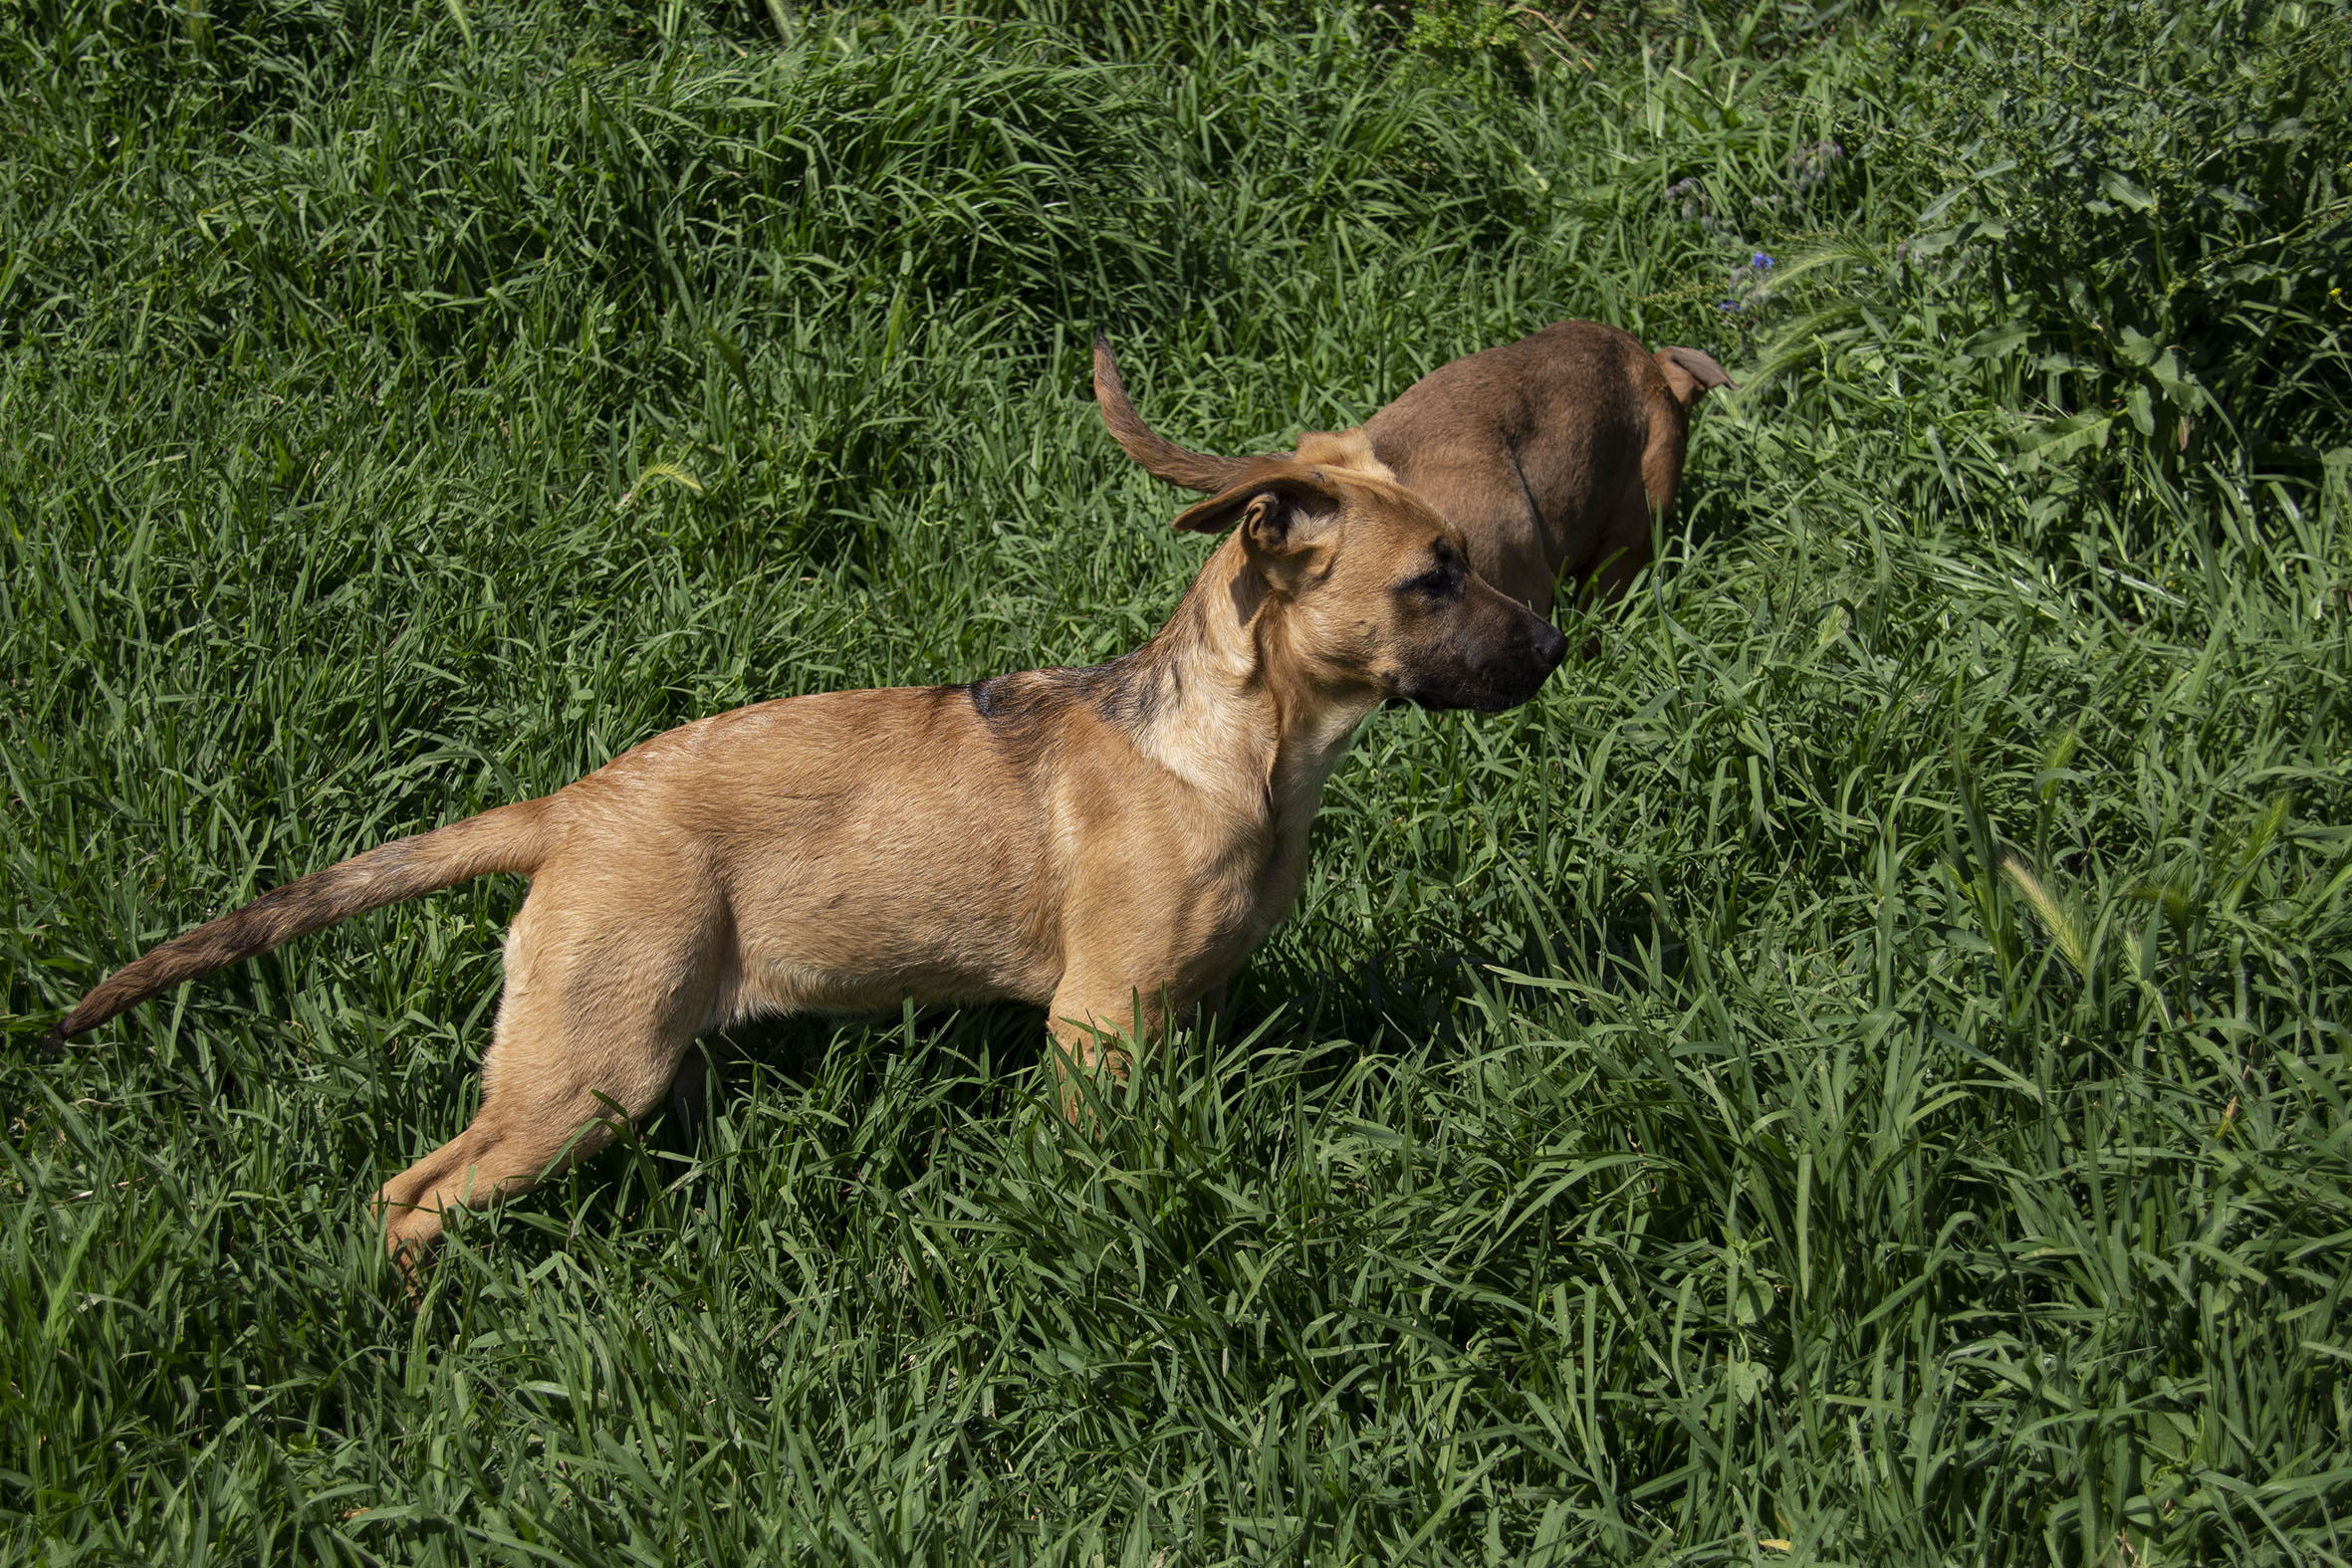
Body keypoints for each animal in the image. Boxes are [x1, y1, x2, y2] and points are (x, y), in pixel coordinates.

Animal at [46, 455, 1567, 1262]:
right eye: (1431, 578)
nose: (1557, 645)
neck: (1233, 741)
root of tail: (573, 805)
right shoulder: (1099, 1025)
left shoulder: (1179, 1013)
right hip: (583, 1073)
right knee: (406, 1197)